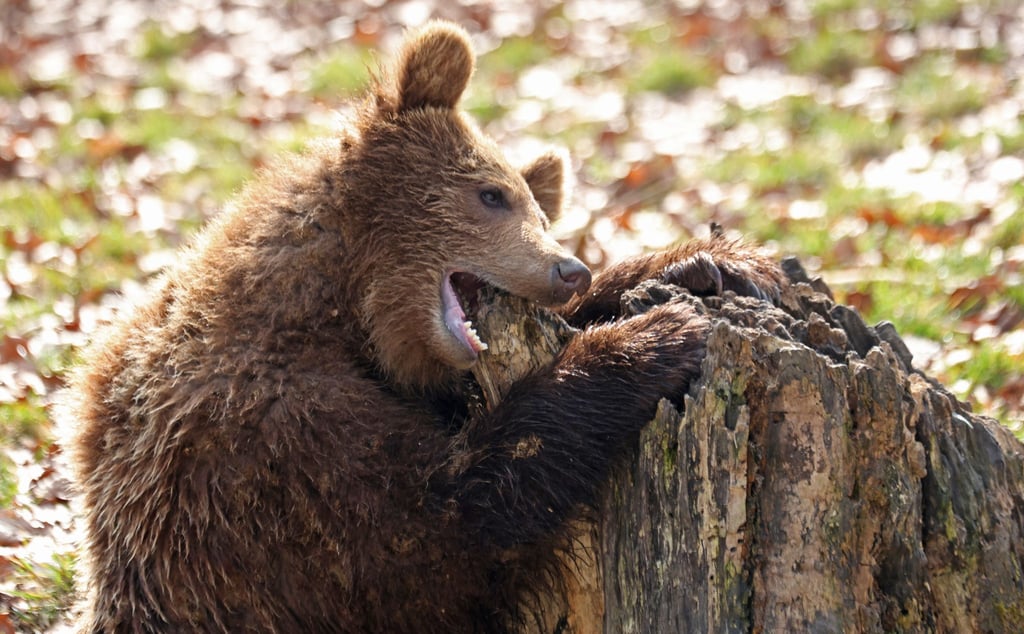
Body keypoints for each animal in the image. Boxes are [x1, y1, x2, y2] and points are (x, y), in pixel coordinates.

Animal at [63, 21, 785, 633]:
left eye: (539, 212)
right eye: (491, 195)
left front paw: (711, 265)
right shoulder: (267, 450)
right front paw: (656, 336)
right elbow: (441, 518)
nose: (570, 269)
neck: (338, 308)